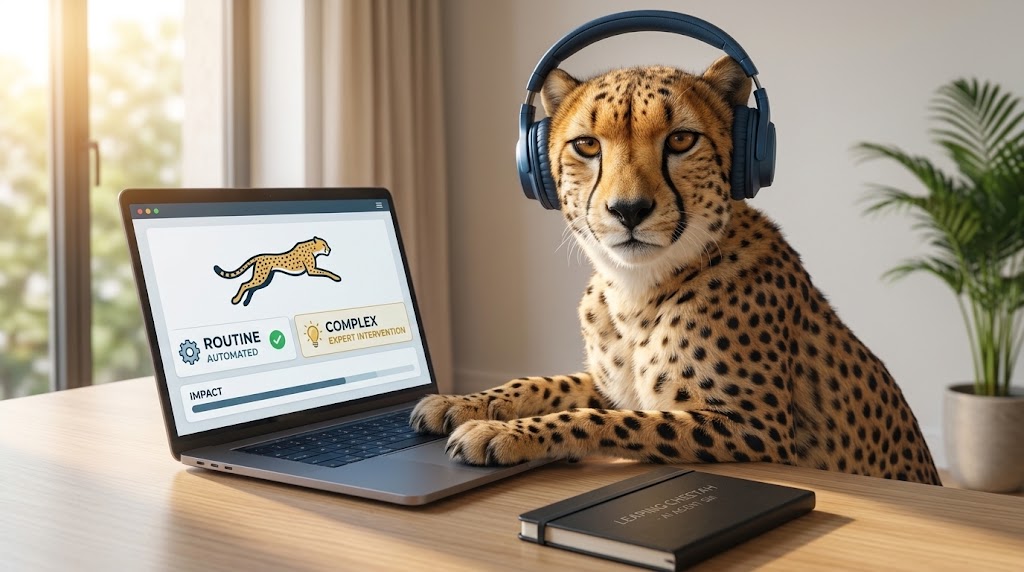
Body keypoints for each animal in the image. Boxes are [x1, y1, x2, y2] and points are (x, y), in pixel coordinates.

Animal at [412, 56, 942, 485]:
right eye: (587, 146)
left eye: (682, 140)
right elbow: (550, 382)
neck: (635, 291)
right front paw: (457, 402)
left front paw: (499, 432)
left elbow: (606, 420)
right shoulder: (612, 387)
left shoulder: (756, 428)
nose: (628, 210)